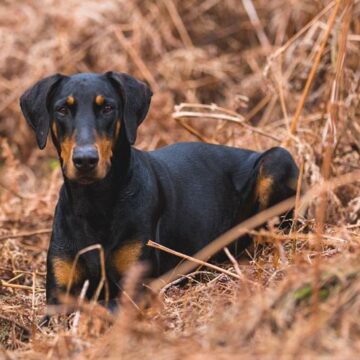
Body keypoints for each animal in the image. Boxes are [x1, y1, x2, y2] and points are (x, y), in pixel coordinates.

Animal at [20, 71, 298, 308]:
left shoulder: (135, 287)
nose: (85, 160)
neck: (95, 203)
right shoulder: (57, 297)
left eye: (107, 108)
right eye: (63, 110)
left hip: (277, 160)